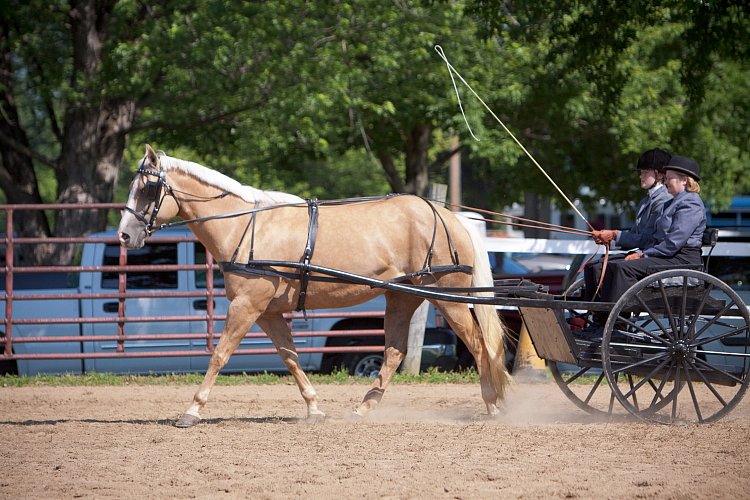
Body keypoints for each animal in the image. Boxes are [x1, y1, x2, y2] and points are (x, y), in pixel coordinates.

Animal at [120, 144, 516, 426]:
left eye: (148, 188)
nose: (125, 235)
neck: (245, 226)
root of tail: (448, 216)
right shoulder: (268, 312)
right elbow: (290, 358)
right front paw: (314, 408)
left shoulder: (247, 305)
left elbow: (220, 354)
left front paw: (191, 411)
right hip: (403, 297)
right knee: (394, 351)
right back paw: (364, 408)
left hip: (448, 298)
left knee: (478, 345)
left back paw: (493, 405)